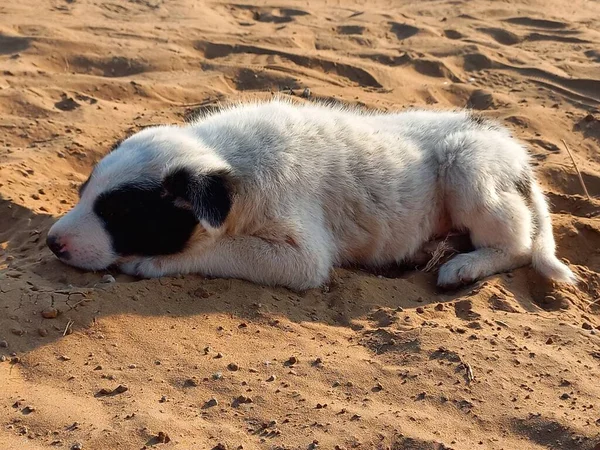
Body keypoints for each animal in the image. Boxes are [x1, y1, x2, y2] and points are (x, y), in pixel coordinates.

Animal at [45, 98, 576, 290]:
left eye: (122, 214)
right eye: (83, 193)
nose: (52, 243)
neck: (231, 161)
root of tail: (516, 153)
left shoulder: (302, 258)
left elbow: (223, 249)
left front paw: (151, 262)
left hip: (469, 167)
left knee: (518, 245)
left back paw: (464, 265)